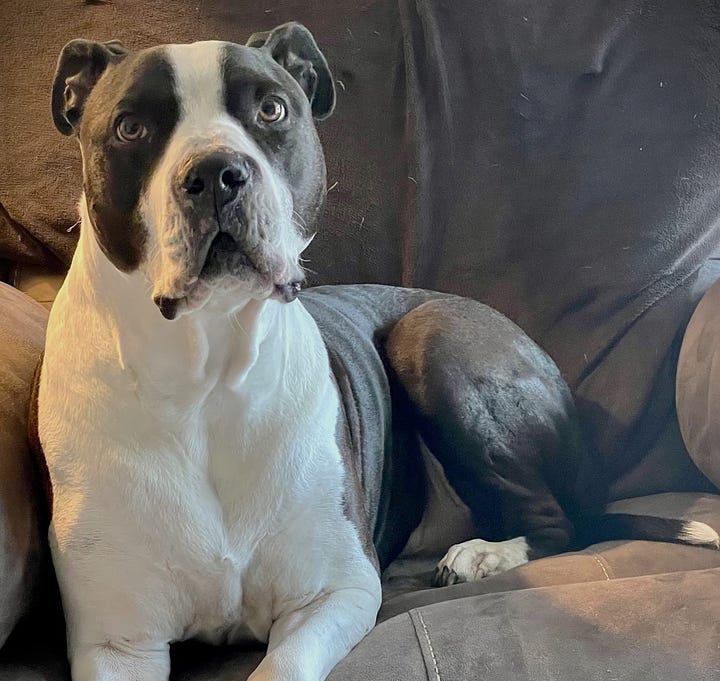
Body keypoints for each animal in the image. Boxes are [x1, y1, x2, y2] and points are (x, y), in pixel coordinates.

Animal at [40, 21, 720, 680]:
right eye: (131, 127)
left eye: (271, 109)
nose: (216, 174)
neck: (207, 372)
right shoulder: (119, 645)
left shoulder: (333, 595)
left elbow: (283, 665)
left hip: (433, 338)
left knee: (561, 523)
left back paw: (484, 554)